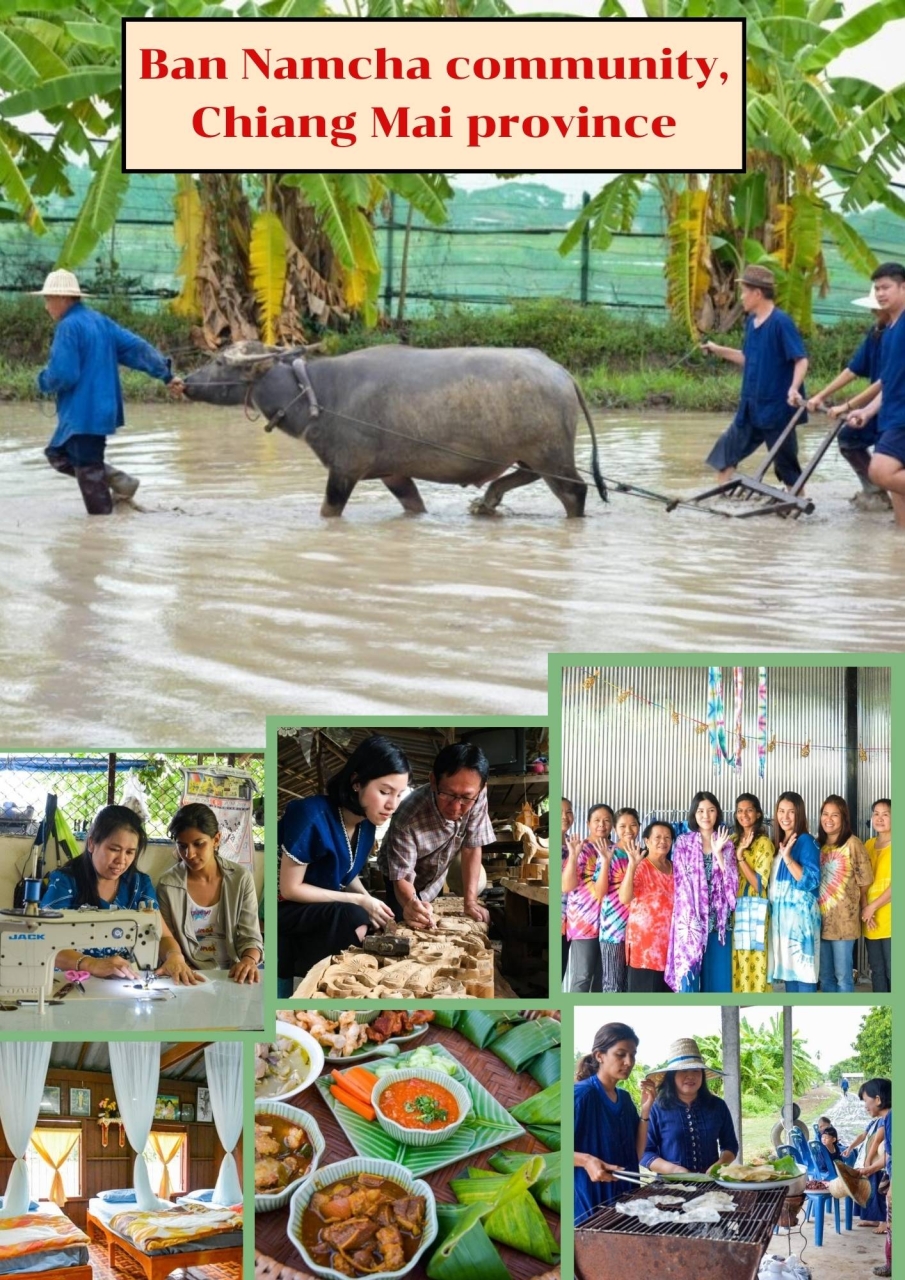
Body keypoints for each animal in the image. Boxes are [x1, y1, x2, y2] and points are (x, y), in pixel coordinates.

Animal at [181, 345, 609, 519]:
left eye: (219, 361)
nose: (183, 382)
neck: (317, 392)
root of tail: (559, 371)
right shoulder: (394, 473)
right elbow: (414, 505)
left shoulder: (344, 471)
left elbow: (329, 511)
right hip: (532, 454)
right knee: (525, 476)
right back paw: (487, 501)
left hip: (551, 453)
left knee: (575, 491)